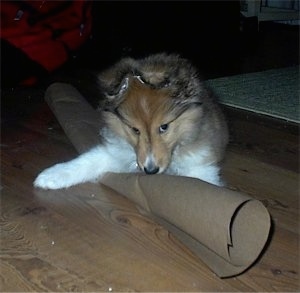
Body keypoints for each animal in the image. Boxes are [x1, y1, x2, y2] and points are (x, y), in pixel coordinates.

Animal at [34, 53, 229, 189]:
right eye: (135, 129)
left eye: (164, 127)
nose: (150, 170)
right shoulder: (116, 152)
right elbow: (87, 160)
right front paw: (51, 176)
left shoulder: (201, 168)